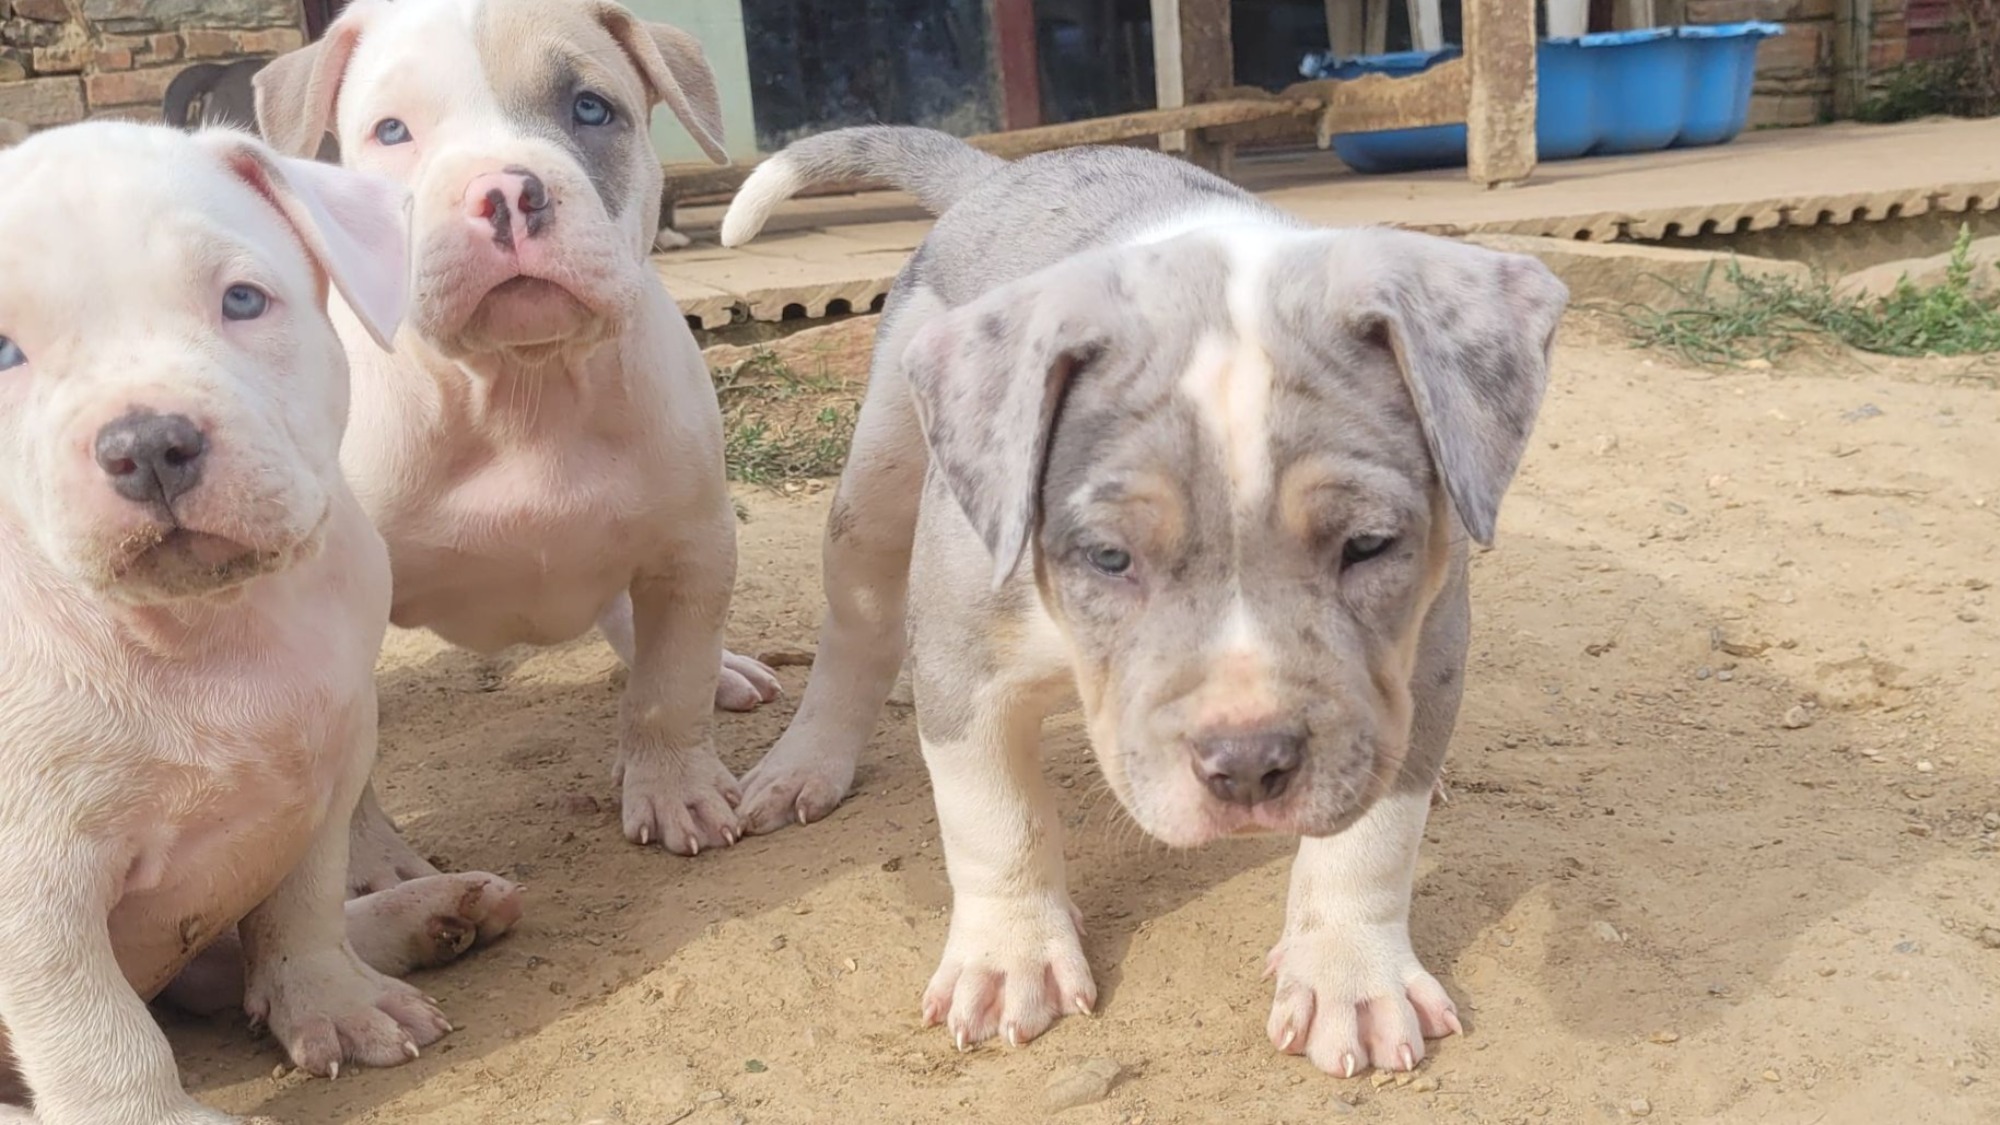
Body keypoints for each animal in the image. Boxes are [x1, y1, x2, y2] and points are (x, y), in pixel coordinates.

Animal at [0, 122, 524, 1120]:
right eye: (4, 354)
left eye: (243, 299)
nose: (148, 443)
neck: (202, 626)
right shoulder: (32, 888)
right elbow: (93, 1029)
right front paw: (148, 1116)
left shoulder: (322, 769)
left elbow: (299, 908)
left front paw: (339, 1005)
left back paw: (428, 916)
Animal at [252, 0, 780, 876]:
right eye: (391, 131)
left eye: (591, 109)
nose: (504, 189)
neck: (522, 389)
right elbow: (345, 759)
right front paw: (371, 868)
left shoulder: (693, 544)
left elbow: (668, 687)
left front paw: (677, 789)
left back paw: (722, 672)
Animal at [728, 127, 1568, 1072]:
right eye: (1108, 555)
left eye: (1367, 545)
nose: (1249, 763)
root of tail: (1001, 173)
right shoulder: (964, 665)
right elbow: (995, 820)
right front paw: (1009, 961)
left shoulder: (1423, 660)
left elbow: (1373, 840)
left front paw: (1351, 976)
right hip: (878, 483)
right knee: (857, 625)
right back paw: (804, 765)